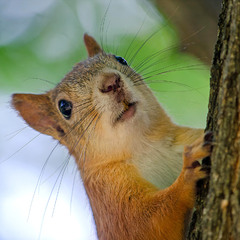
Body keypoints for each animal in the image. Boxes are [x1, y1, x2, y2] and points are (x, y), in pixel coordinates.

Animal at [10, 34, 212, 240]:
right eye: (64, 107)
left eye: (120, 59)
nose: (111, 82)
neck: (146, 146)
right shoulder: (109, 197)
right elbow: (145, 223)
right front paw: (188, 173)